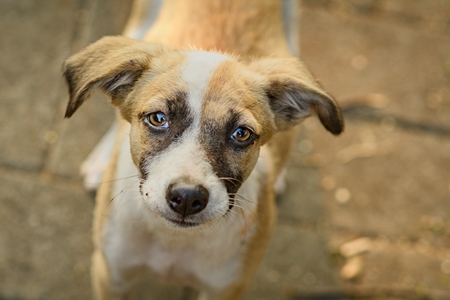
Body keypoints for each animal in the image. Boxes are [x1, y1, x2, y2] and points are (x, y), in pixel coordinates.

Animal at [63, 0, 342, 300]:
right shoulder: (110, 274)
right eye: (158, 118)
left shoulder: (226, 288)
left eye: (241, 134)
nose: (187, 198)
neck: (173, 241)